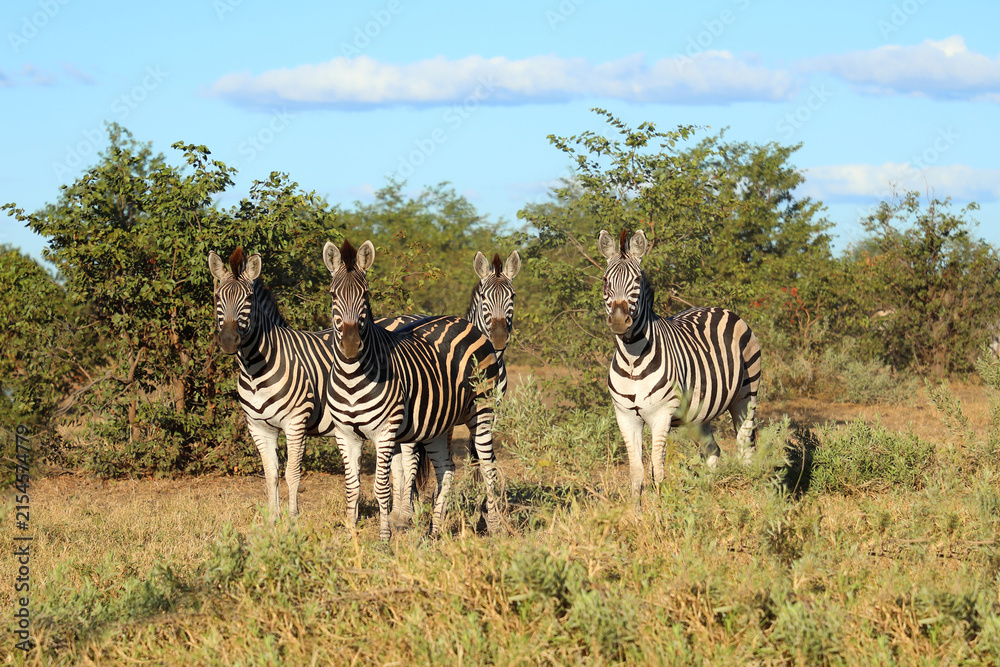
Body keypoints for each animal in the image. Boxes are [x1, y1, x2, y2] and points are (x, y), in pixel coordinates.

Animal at [208, 247, 338, 521]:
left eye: (248, 298)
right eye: (217, 297)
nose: (228, 340)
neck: (254, 370)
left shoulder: (296, 423)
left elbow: (292, 474)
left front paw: (293, 518)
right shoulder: (259, 427)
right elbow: (270, 475)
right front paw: (272, 520)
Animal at [322, 238, 503, 540]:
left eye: (366, 294)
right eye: (333, 295)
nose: (350, 346)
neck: (351, 376)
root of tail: (465, 322)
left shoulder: (384, 432)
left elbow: (381, 488)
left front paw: (384, 539)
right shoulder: (345, 434)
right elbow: (352, 488)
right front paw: (350, 536)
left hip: (482, 412)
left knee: (488, 468)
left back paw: (496, 528)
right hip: (438, 423)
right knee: (447, 469)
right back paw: (434, 531)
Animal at [598, 229, 762, 503]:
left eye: (637, 280)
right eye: (605, 281)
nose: (620, 321)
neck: (632, 358)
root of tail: (719, 308)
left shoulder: (661, 414)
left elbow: (657, 467)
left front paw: (661, 510)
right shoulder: (625, 416)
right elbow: (636, 471)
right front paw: (635, 511)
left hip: (745, 396)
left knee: (745, 447)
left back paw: (751, 495)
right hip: (699, 414)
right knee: (712, 450)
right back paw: (706, 497)